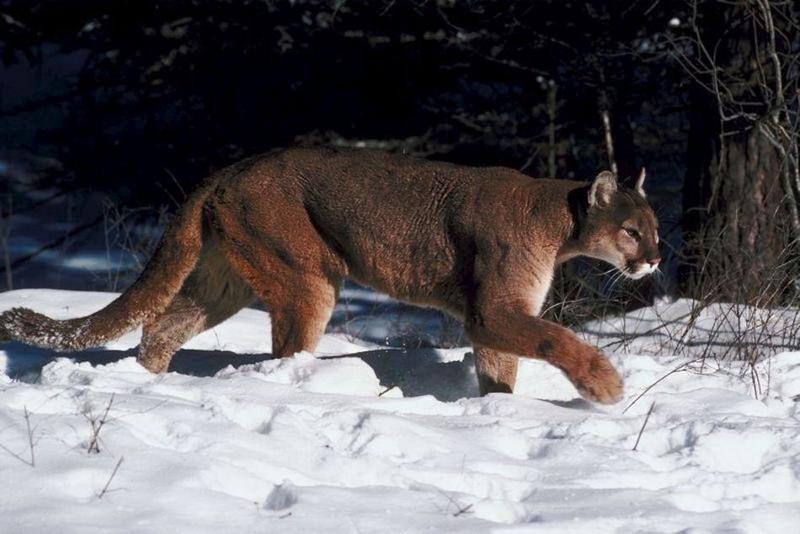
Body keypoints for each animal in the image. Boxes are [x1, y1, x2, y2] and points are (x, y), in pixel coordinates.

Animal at [3, 149, 660, 404]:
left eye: (653, 228)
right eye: (631, 231)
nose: (655, 258)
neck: (558, 223)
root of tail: (233, 168)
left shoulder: (496, 315)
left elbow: (502, 372)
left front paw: (497, 412)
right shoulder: (494, 308)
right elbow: (554, 339)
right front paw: (604, 386)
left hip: (228, 277)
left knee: (163, 325)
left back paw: (151, 386)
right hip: (306, 276)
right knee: (284, 350)